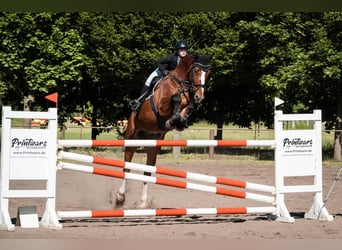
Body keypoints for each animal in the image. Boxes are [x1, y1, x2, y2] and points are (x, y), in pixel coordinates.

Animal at [116, 52, 212, 207]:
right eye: (196, 70)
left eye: (208, 72)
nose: (200, 96)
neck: (181, 84)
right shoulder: (161, 106)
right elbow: (176, 98)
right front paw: (171, 120)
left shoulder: (187, 105)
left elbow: (189, 107)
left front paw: (179, 122)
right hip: (131, 137)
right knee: (127, 166)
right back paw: (120, 197)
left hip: (153, 145)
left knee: (148, 172)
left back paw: (143, 203)